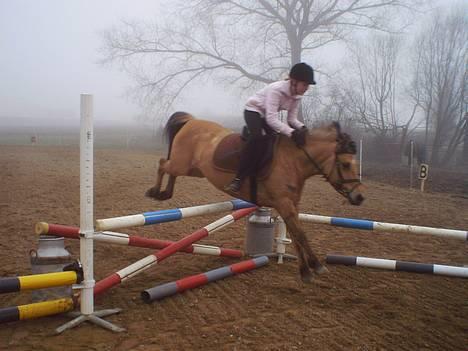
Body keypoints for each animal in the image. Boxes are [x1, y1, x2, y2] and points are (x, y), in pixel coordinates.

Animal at [144, 113, 364, 284]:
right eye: (345, 164)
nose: (360, 197)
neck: (293, 161)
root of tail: (191, 121)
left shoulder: (290, 205)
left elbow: (296, 235)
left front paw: (306, 271)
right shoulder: (284, 204)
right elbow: (300, 235)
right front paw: (316, 266)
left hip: (193, 169)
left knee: (170, 170)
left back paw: (165, 193)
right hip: (182, 163)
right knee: (163, 163)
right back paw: (155, 191)